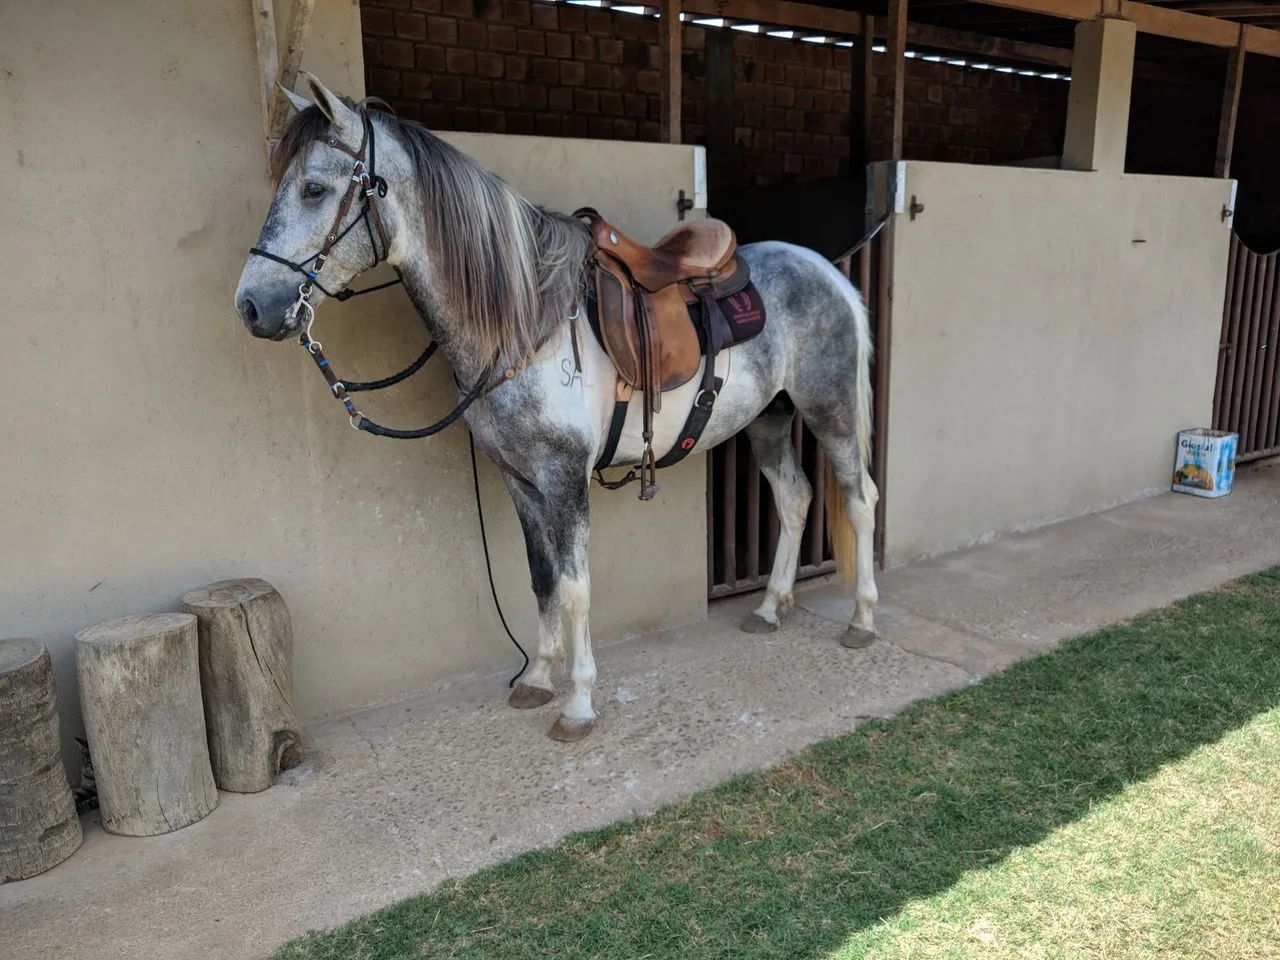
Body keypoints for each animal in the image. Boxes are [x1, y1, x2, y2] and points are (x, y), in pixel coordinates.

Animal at [234, 74, 879, 742]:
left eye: (313, 188)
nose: (251, 305)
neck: (527, 322)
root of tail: (827, 270)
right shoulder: (520, 479)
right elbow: (540, 577)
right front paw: (538, 680)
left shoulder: (564, 478)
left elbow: (574, 588)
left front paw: (578, 704)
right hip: (770, 418)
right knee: (795, 498)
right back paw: (770, 608)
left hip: (828, 410)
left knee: (860, 499)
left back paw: (861, 621)